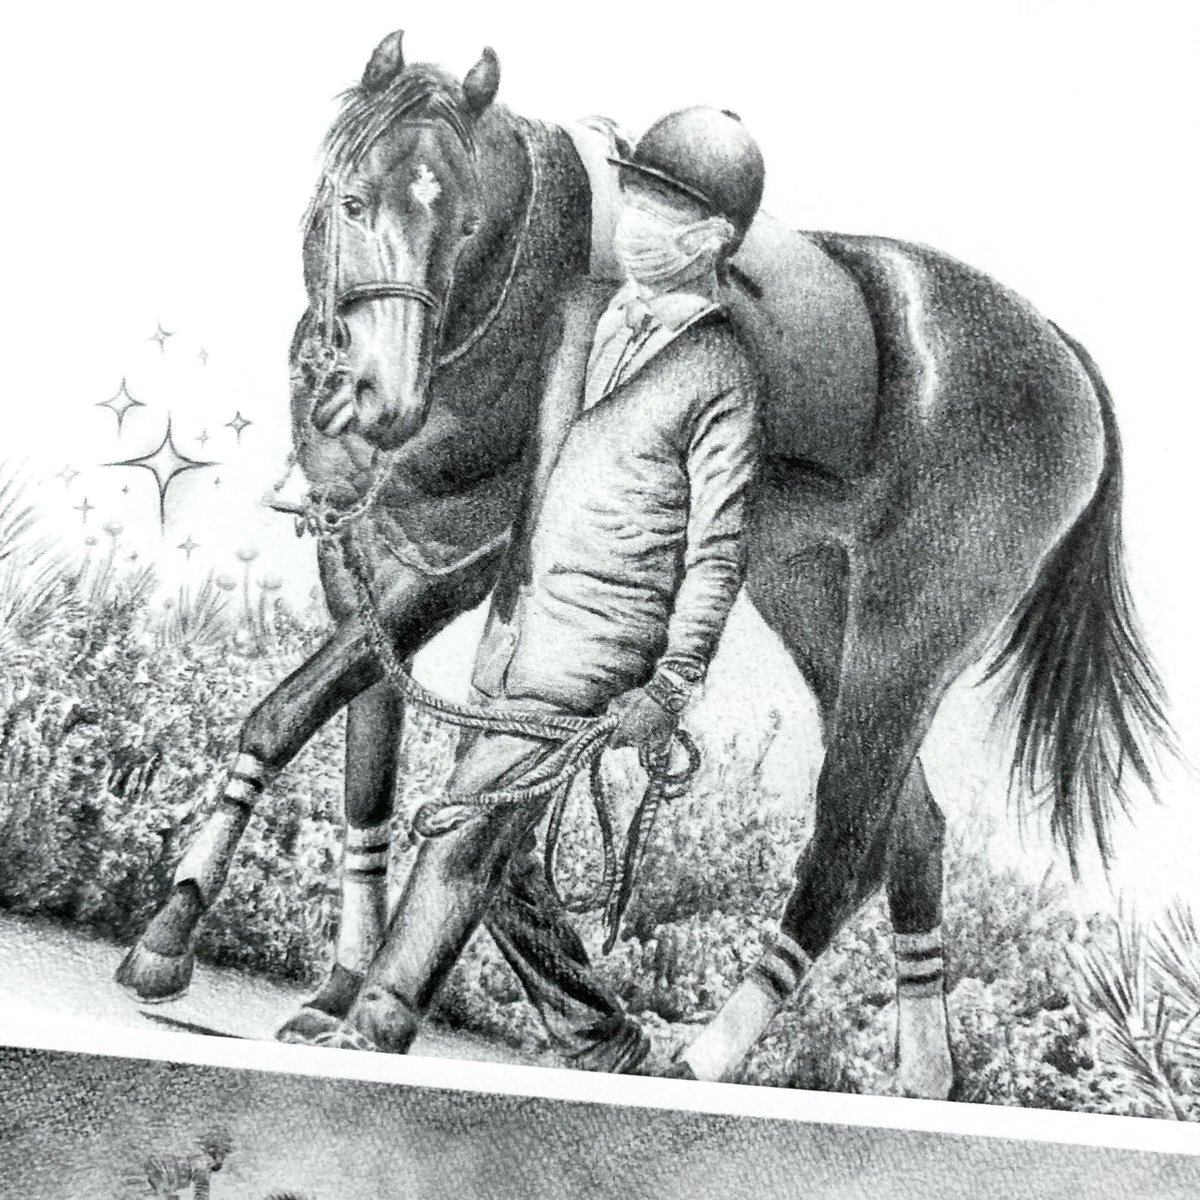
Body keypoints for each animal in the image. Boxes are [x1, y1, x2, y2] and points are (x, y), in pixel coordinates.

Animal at [116, 30, 1170, 1097]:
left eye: (466, 223)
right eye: (354, 201)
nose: (382, 401)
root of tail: (1066, 361)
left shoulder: (456, 570)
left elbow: (289, 714)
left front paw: (170, 938)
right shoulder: (364, 568)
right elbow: (363, 761)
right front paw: (330, 987)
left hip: (904, 640)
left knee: (843, 840)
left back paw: (705, 1059)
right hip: (816, 605)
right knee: (910, 833)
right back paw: (919, 1081)